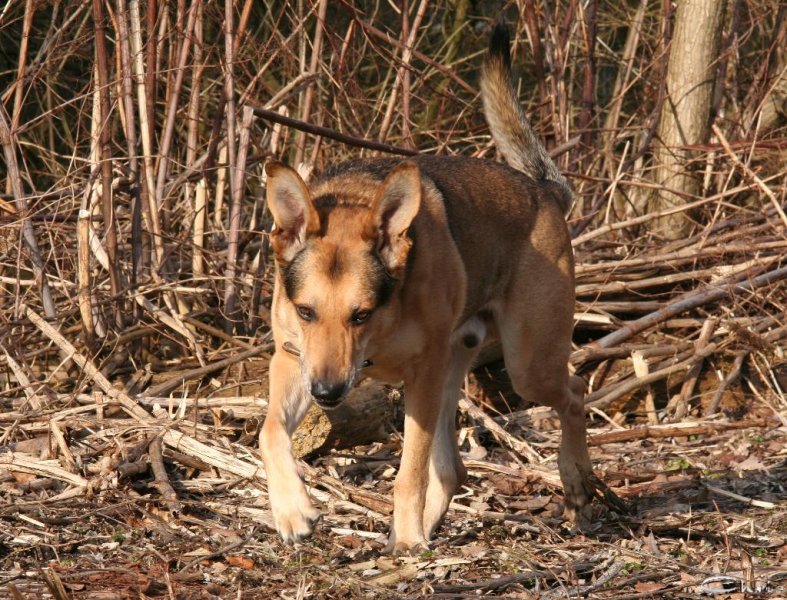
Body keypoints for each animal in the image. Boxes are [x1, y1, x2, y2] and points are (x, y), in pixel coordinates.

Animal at [262, 25, 596, 556]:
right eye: (306, 311)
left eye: (361, 314)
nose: (328, 394)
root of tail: (546, 192)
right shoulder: (294, 361)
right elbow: (269, 431)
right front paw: (293, 511)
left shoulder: (420, 375)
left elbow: (410, 470)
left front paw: (407, 538)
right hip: (453, 371)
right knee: (454, 467)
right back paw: (433, 523)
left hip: (525, 365)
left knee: (576, 393)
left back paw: (576, 479)